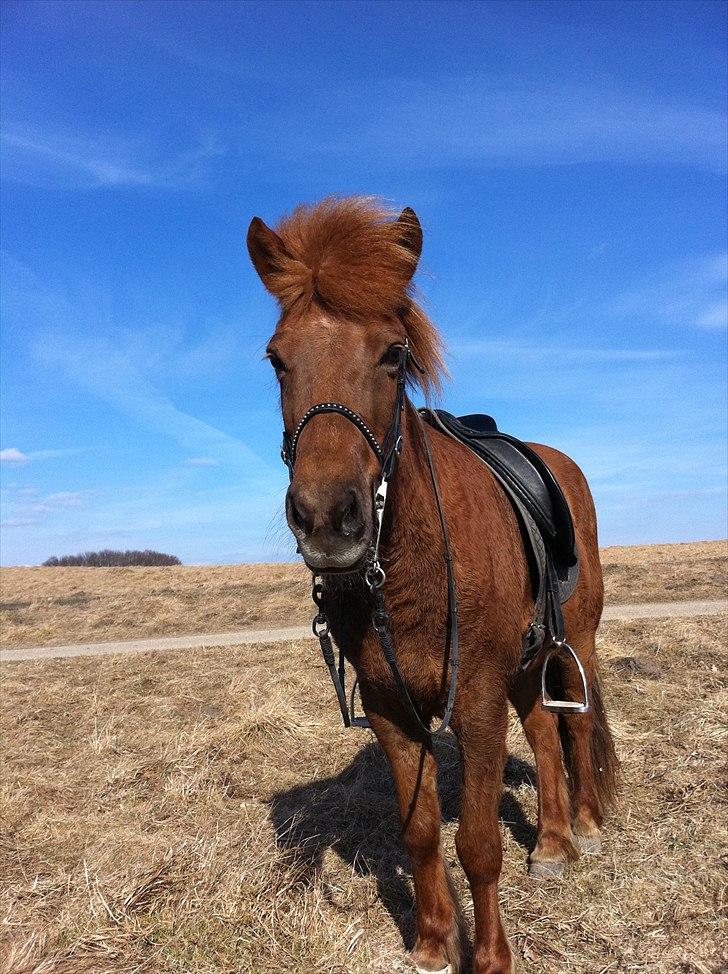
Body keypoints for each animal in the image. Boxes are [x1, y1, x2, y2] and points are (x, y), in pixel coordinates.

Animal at [247, 198, 616, 974]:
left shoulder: (473, 701)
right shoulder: (391, 707)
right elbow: (418, 832)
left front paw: (490, 956)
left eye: (393, 355)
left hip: (575, 644)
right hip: (524, 662)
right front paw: (433, 941)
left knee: (573, 725)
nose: (327, 519)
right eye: (277, 360)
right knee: (543, 732)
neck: (405, 574)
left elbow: (475, 843)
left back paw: (587, 826)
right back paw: (554, 842)